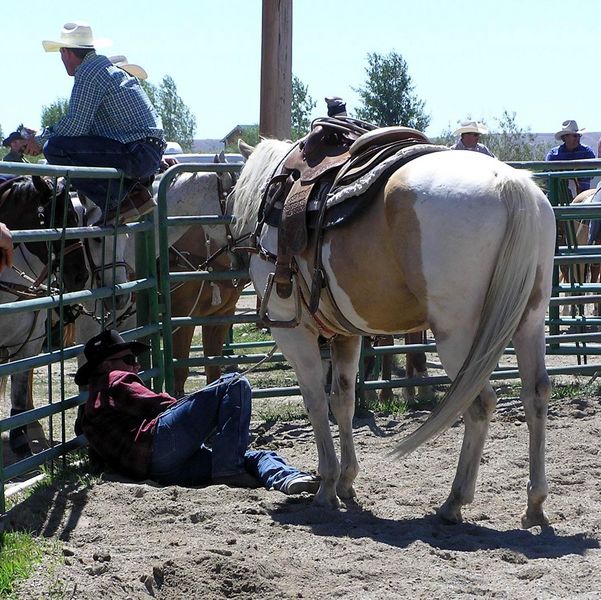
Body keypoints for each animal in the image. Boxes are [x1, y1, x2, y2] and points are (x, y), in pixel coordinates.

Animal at [195, 138, 556, 528]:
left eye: (225, 199)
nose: (222, 261)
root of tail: (509, 183)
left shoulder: (294, 334)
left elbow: (315, 402)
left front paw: (326, 486)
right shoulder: (346, 335)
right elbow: (343, 400)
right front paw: (346, 481)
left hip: (458, 337)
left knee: (478, 404)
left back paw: (454, 501)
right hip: (530, 322)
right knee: (535, 395)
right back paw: (534, 504)